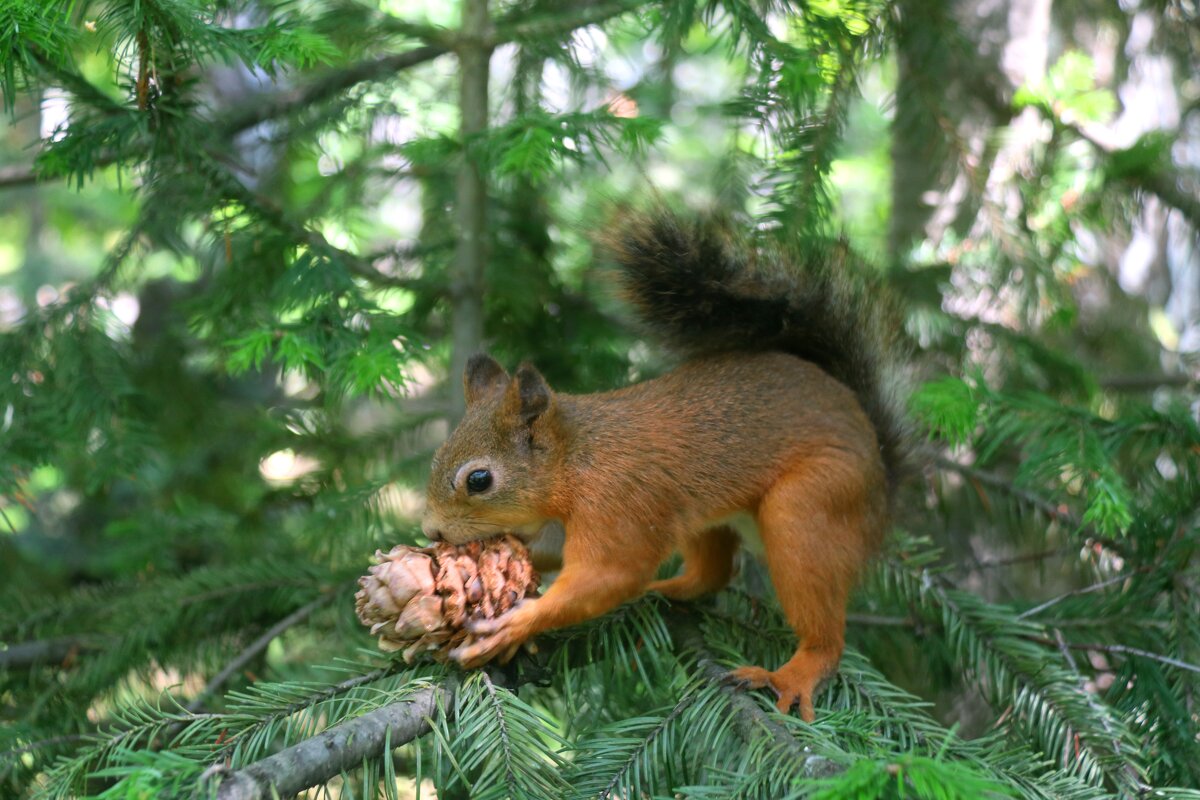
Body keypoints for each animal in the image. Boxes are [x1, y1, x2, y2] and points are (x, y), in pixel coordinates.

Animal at [422, 211, 902, 719]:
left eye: (479, 480)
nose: (431, 530)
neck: (578, 458)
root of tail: (883, 480)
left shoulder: (618, 502)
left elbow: (611, 574)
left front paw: (515, 626)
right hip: (707, 517)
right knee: (713, 574)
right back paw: (665, 591)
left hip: (812, 504)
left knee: (824, 631)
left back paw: (794, 674)